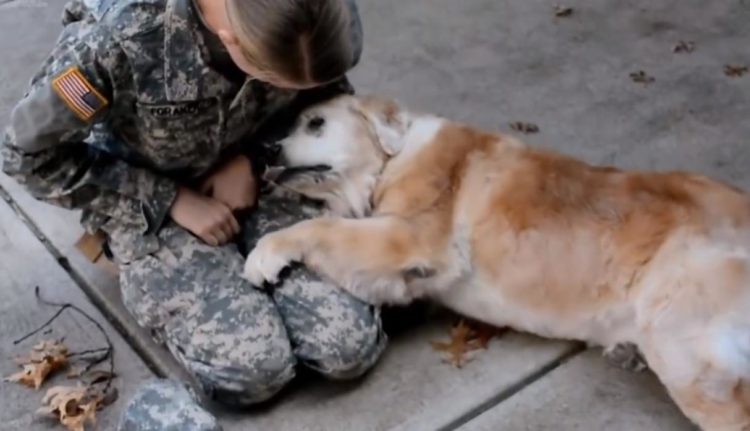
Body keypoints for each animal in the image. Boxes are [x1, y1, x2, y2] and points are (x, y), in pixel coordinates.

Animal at [244, 95, 748, 431]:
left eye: (316, 123)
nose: (264, 149)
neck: (391, 159)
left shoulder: (409, 237)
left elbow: (323, 227)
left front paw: (265, 252)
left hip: (683, 346)